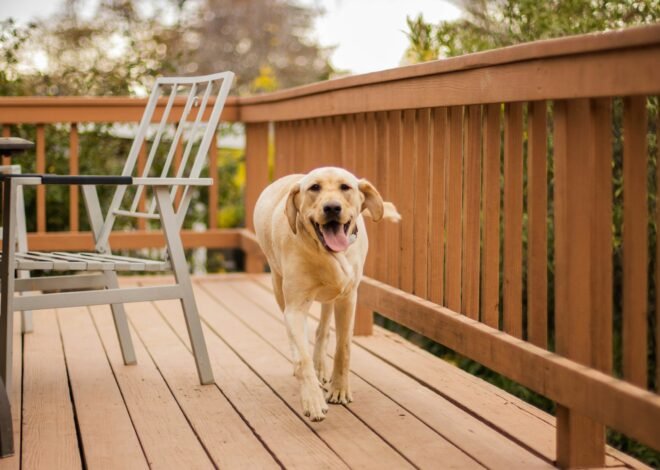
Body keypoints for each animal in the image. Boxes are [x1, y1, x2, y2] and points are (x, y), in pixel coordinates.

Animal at [253, 166, 400, 422]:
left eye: (345, 187)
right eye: (314, 187)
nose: (332, 207)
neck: (327, 254)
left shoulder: (348, 298)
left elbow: (343, 348)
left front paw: (339, 389)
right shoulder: (295, 307)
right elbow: (302, 356)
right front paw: (312, 400)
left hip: (332, 296)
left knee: (323, 328)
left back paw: (321, 365)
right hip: (278, 285)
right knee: (299, 338)